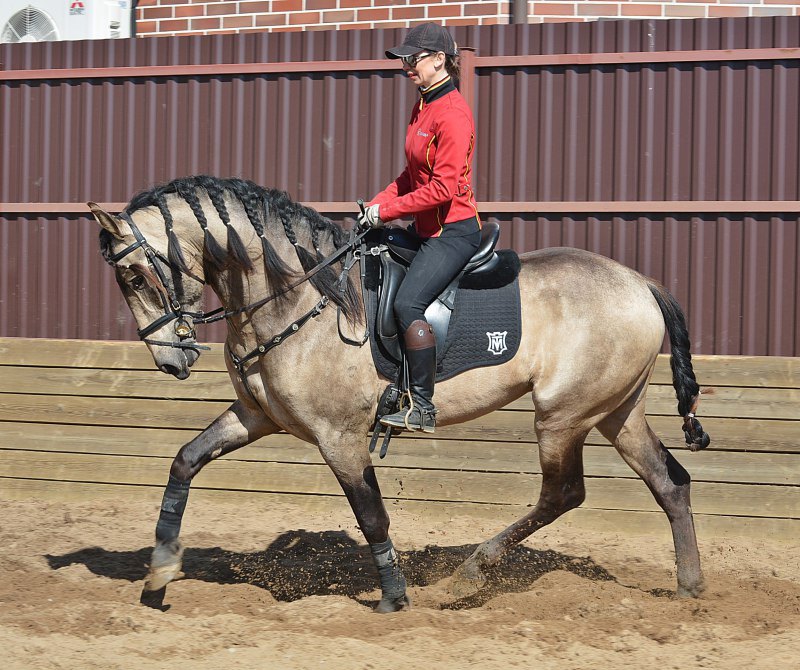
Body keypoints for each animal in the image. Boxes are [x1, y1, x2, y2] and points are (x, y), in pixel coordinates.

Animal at [90, 175, 708, 616]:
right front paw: (159, 573)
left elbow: (372, 516)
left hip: (562, 416)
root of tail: (640, 283)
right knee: (669, 481)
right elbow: (185, 460)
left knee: (564, 493)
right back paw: (690, 586)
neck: (297, 299)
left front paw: (394, 597)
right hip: (614, 412)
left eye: (137, 276)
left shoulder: (338, 436)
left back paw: (471, 572)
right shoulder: (256, 415)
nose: (171, 361)